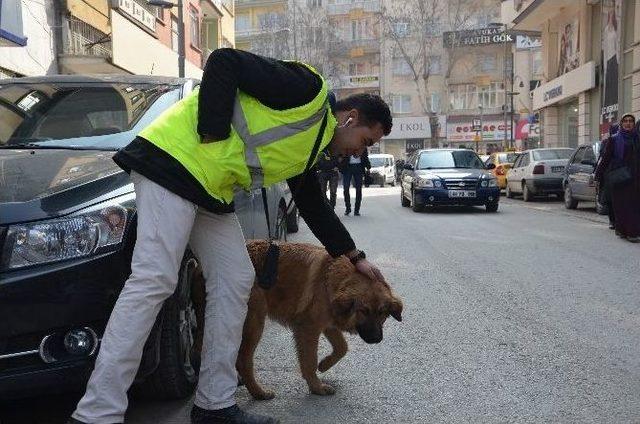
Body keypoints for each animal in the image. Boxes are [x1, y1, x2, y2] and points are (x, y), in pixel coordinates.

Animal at [238, 240, 402, 400]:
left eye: (382, 312)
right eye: (363, 311)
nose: (376, 339)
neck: (329, 280)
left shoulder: (329, 324)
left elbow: (342, 347)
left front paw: (324, 364)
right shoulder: (308, 329)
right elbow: (310, 361)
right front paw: (317, 387)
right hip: (255, 324)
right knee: (243, 361)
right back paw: (258, 392)